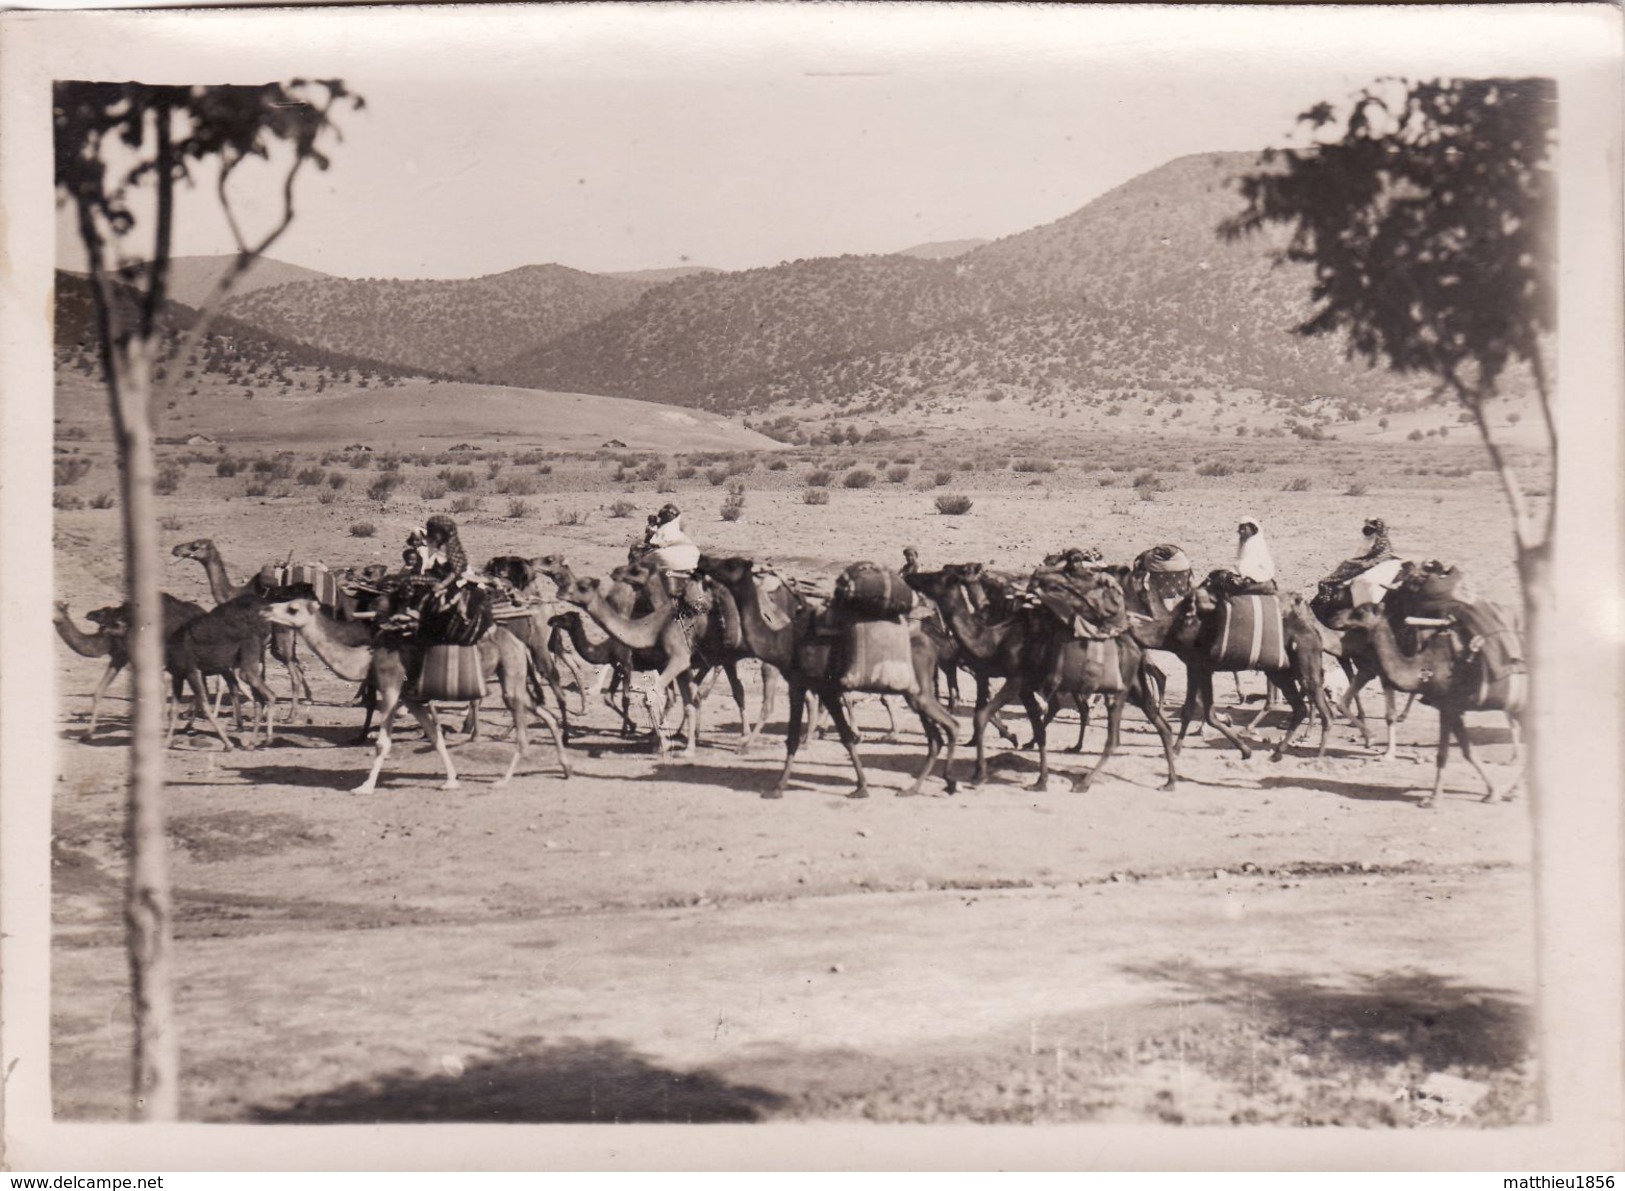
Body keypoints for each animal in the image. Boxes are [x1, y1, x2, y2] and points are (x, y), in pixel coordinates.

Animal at [55, 591, 206, 734]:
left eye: (57, 609)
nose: (89, 614)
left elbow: (159, 687)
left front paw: (160, 719)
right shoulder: (119, 656)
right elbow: (99, 692)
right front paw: (88, 733)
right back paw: (188, 723)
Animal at [176, 536, 318, 714]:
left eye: (195, 546)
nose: (176, 549)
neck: (231, 594)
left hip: (282, 640)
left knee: (294, 674)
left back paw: (292, 713)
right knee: (297, 666)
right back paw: (307, 700)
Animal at [260, 594, 572, 789]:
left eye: (292, 609)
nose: (265, 609)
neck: (365, 658)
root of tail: (519, 643)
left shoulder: (390, 688)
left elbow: (382, 743)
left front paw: (365, 786)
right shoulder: (411, 699)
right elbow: (436, 738)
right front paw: (450, 780)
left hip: (511, 675)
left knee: (525, 735)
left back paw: (503, 780)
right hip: (514, 677)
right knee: (545, 713)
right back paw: (566, 768)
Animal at [695, 555, 949, 799]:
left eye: (731, 564)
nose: (704, 561)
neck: (785, 640)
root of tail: (931, 642)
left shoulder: (820, 686)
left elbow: (840, 735)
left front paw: (860, 786)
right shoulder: (801, 684)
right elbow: (797, 736)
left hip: (915, 690)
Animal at [1332, 604, 1521, 809]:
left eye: (1360, 612)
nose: (1336, 617)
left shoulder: (1448, 707)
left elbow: (1447, 753)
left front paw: (1434, 799)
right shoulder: (1453, 709)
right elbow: (1465, 751)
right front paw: (1492, 793)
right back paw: (1513, 790)